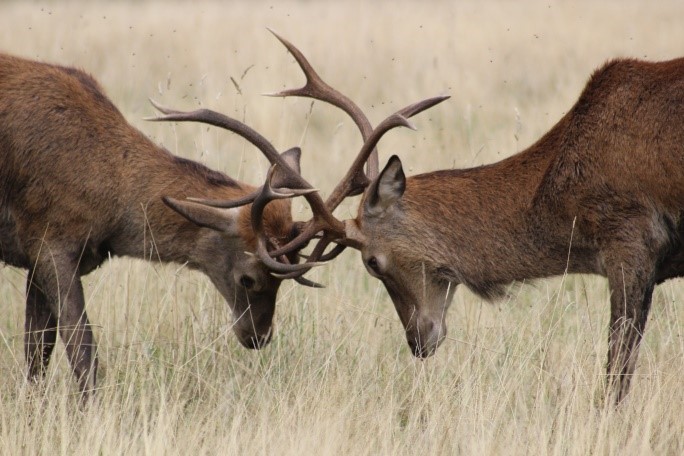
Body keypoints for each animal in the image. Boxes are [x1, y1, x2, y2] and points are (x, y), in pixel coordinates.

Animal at [0, 50, 332, 400]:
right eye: (248, 279)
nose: (258, 337)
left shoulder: (37, 258)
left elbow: (37, 354)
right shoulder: (50, 240)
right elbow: (81, 350)